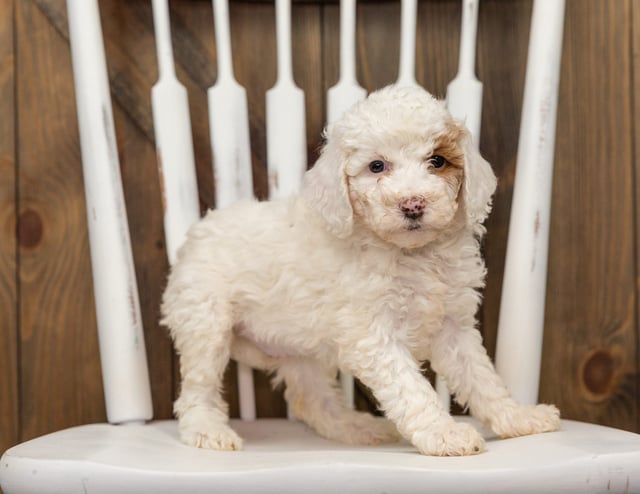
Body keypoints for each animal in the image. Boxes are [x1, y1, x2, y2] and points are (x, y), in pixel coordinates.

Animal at [164, 84, 560, 456]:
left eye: (437, 161)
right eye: (377, 166)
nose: (413, 204)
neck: (412, 254)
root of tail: (197, 232)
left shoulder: (454, 327)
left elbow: (482, 378)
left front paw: (519, 418)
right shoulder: (373, 335)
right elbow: (412, 389)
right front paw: (443, 433)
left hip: (299, 344)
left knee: (313, 400)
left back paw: (358, 428)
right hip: (207, 323)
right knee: (196, 392)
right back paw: (208, 431)